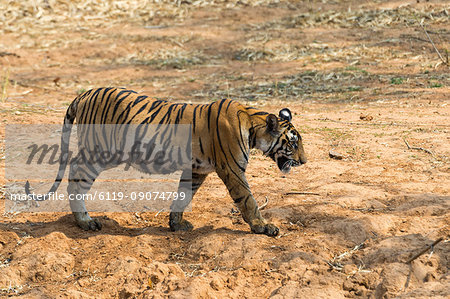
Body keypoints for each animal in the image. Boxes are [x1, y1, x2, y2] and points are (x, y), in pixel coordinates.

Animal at [24, 86, 306, 237]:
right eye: (293, 144)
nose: (304, 161)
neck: (253, 124)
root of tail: (84, 94)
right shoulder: (232, 170)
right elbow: (248, 201)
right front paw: (264, 227)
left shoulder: (196, 169)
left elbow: (183, 196)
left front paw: (176, 224)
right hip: (99, 151)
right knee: (76, 177)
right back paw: (85, 221)